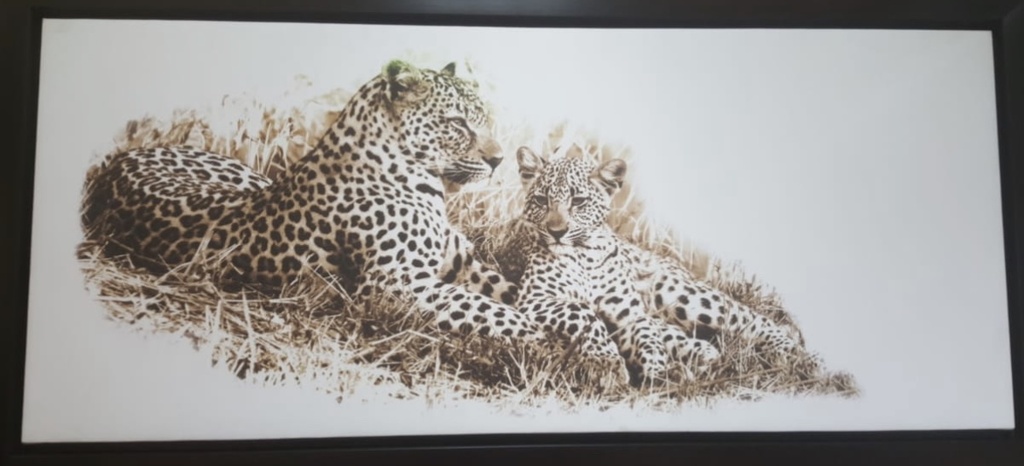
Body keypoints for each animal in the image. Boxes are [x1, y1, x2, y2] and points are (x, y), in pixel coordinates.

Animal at [80, 60, 541, 344]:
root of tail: (119, 161)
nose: (499, 160)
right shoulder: (396, 286)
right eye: (457, 123)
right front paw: (552, 339)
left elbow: (516, 295)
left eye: (484, 120)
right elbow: (501, 314)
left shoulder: (465, 265)